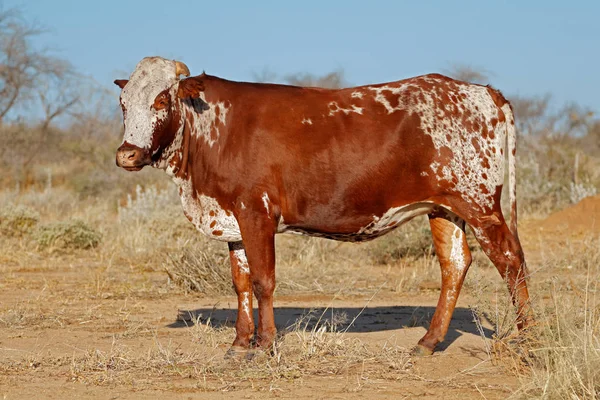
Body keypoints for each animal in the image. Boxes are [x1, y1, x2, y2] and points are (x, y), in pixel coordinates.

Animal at [115, 55, 532, 356]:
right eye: (122, 103)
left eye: (162, 98)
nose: (126, 154)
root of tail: (482, 91)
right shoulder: (232, 219)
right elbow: (241, 283)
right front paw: (239, 343)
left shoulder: (256, 212)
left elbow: (263, 281)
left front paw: (263, 345)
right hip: (443, 207)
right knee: (456, 264)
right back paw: (428, 343)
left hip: (479, 203)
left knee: (511, 260)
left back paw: (527, 338)